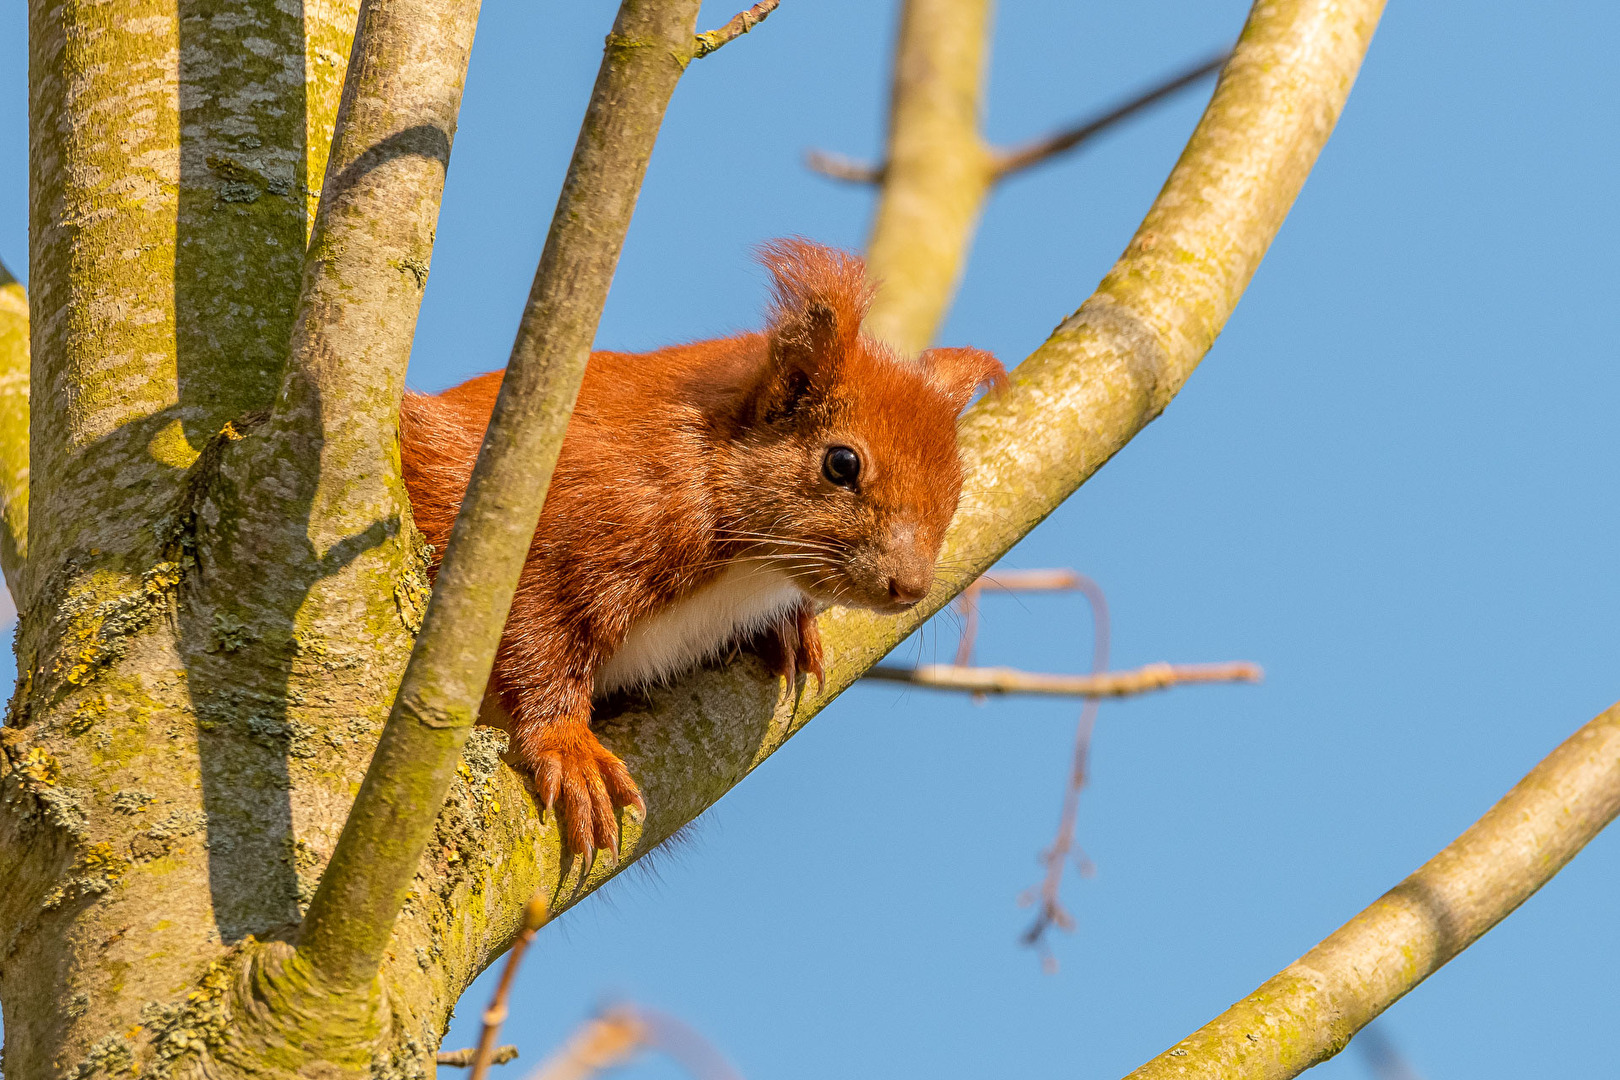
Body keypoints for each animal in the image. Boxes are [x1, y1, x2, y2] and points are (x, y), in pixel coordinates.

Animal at [400, 238, 1006, 862]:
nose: (908, 588)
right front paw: (567, 748)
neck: (746, 569)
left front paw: (790, 625)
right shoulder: (568, 524)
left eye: (957, 485)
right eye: (842, 463)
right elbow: (531, 632)